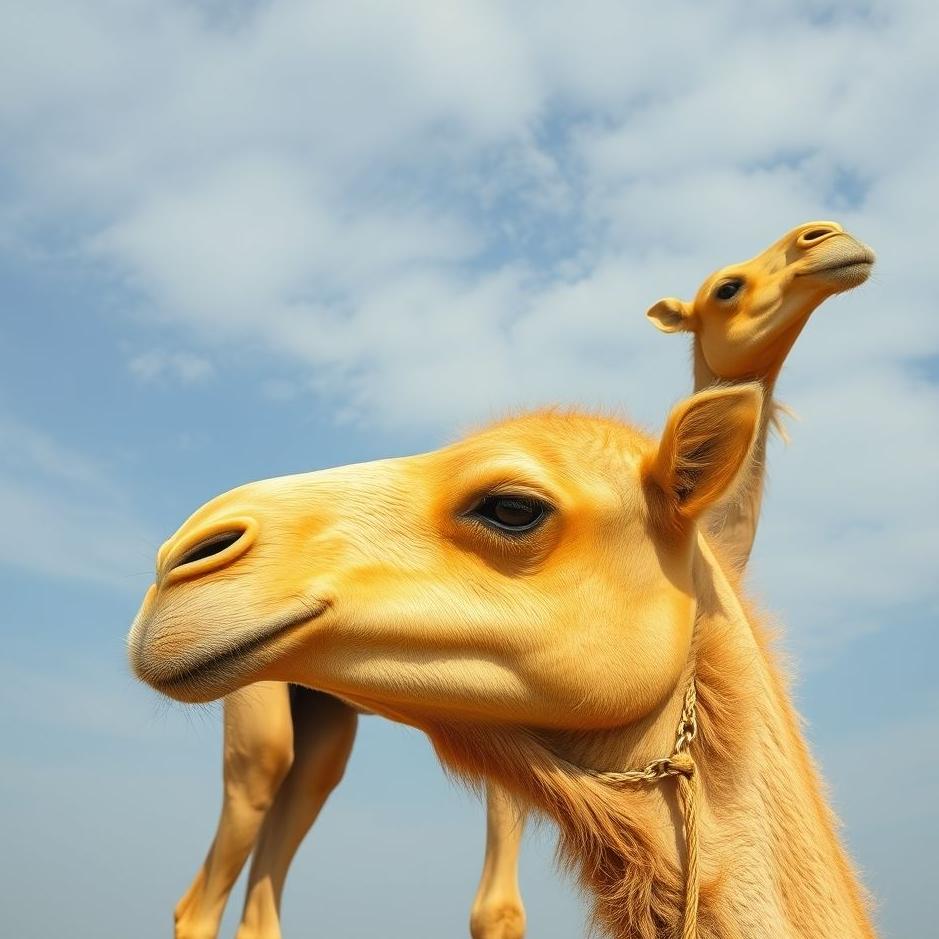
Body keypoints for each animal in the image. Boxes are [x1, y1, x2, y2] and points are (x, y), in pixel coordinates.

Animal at [163, 221, 872, 939]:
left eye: (509, 508)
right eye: (727, 288)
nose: (828, 239)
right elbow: (496, 908)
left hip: (324, 717)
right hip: (259, 711)